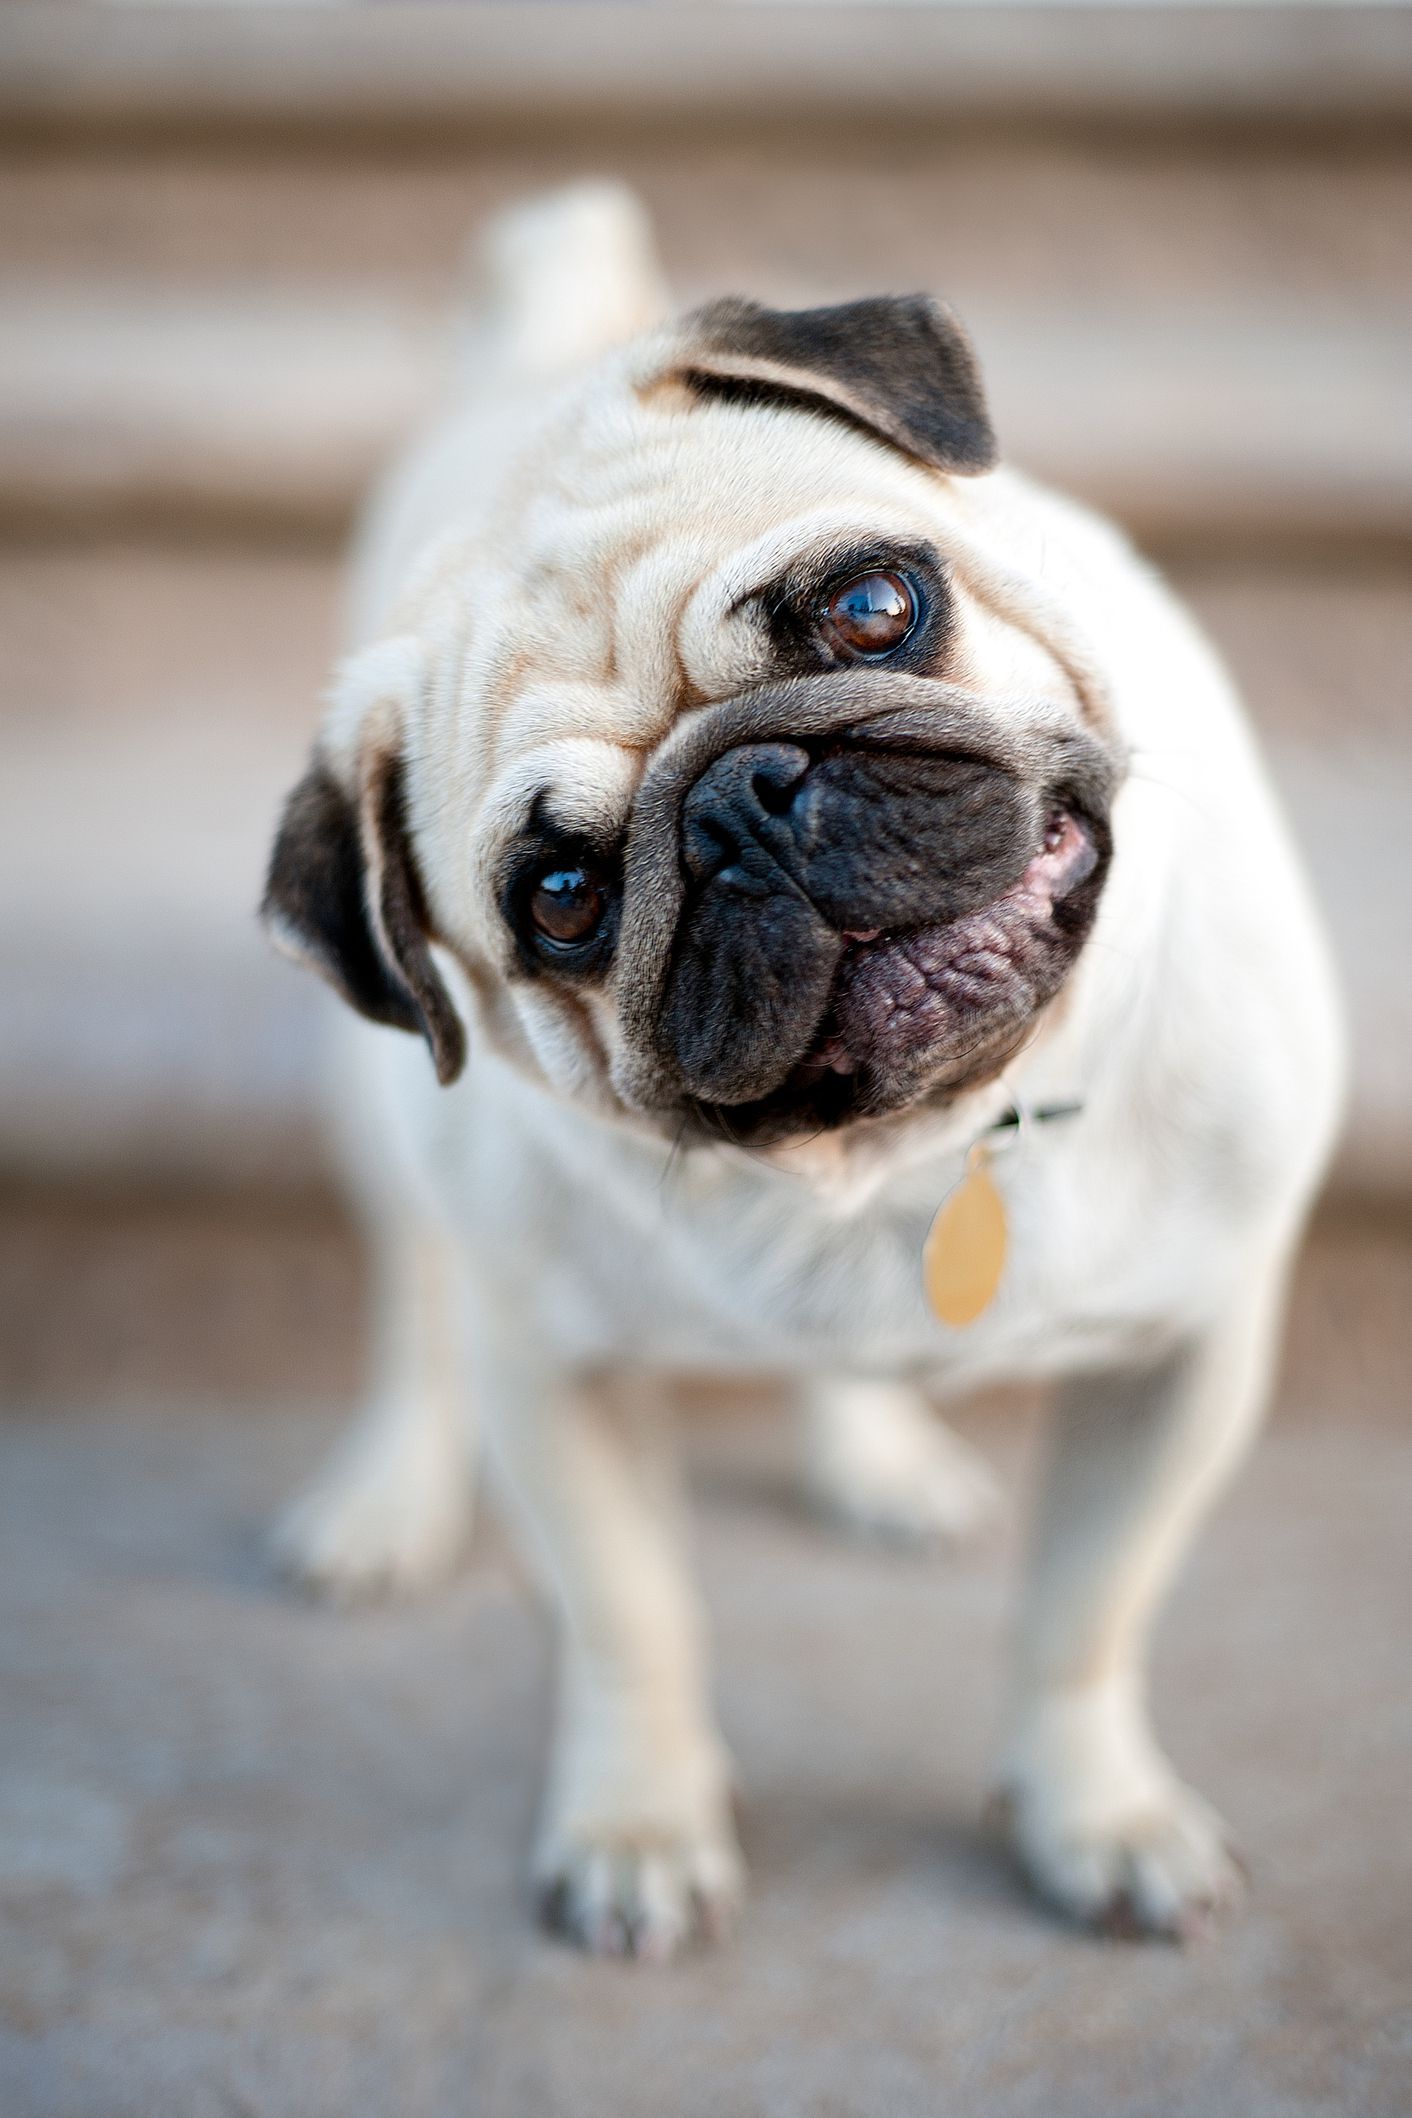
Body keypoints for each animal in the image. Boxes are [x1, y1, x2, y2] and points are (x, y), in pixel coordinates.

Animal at [259, 190, 1346, 1957]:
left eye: (874, 607)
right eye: (561, 897)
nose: (742, 802)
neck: (923, 1147)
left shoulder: (1186, 1356)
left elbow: (1085, 1611)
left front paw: (1093, 1811)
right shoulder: (555, 1374)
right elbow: (631, 1622)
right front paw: (638, 1821)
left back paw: (877, 1454)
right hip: (383, 1128)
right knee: (413, 1294)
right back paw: (386, 1496)